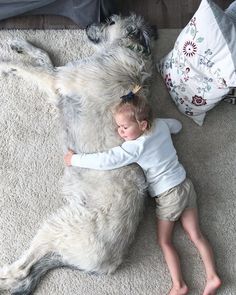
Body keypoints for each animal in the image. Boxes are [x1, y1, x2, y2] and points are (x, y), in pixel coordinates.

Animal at [0, 14, 155, 295]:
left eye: (111, 20)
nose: (89, 24)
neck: (129, 50)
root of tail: (108, 265)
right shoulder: (59, 75)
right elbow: (43, 56)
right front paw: (20, 45)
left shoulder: (57, 81)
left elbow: (28, 68)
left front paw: (5, 64)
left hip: (59, 225)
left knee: (21, 271)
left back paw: (4, 273)